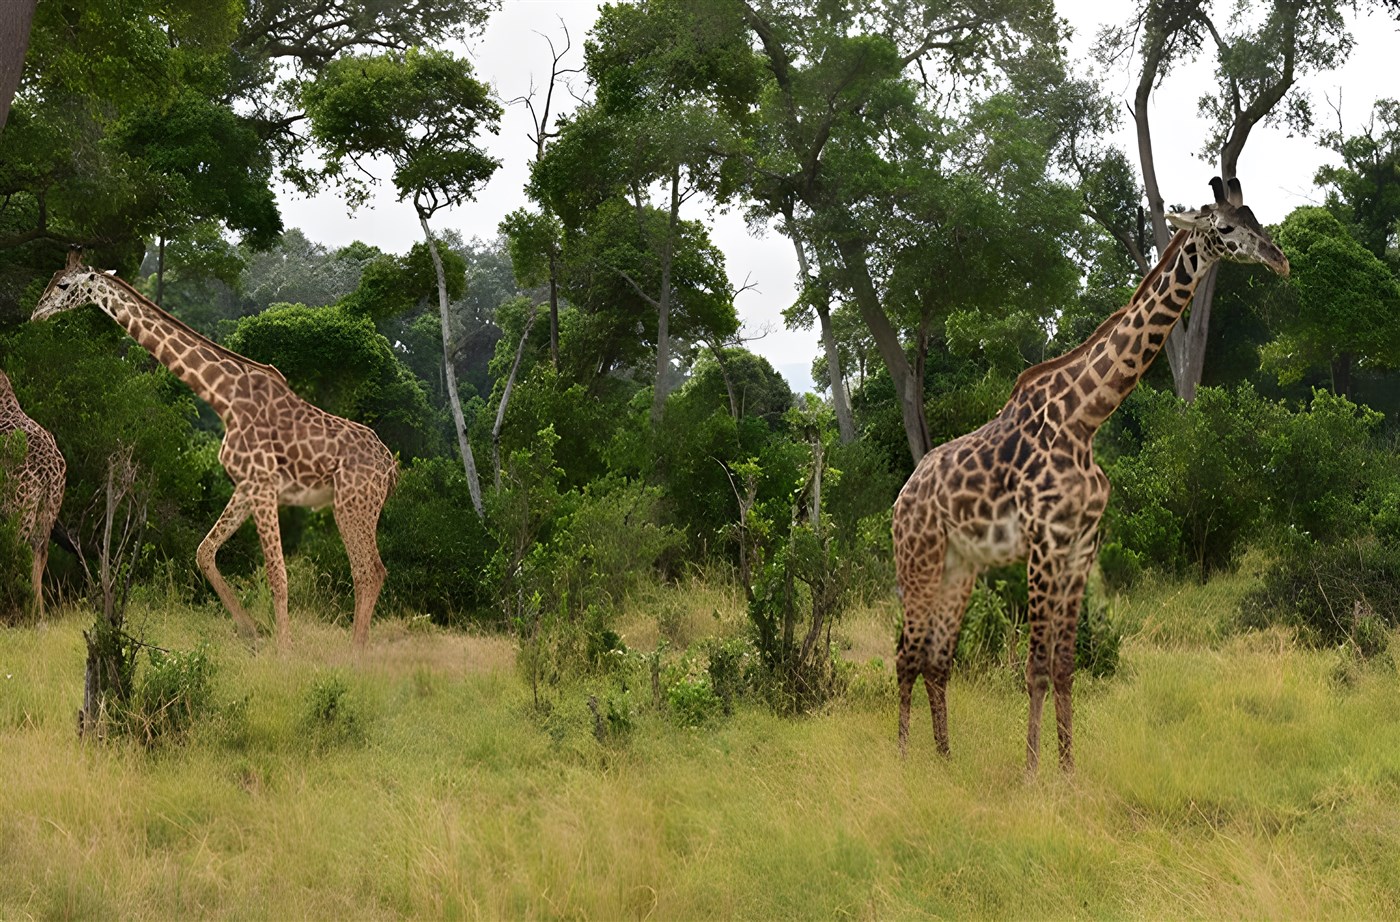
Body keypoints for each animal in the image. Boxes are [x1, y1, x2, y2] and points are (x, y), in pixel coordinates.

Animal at [0, 368, 66, 618]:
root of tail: (49, 473)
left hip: (18, 507)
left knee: (16, 551)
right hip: (47, 510)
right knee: (39, 554)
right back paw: (36, 615)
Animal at [33, 248, 397, 650]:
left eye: (64, 284)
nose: (36, 313)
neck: (224, 397)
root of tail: (391, 466)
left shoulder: (263, 484)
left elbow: (277, 573)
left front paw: (284, 650)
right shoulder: (246, 487)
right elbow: (204, 552)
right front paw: (252, 632)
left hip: (353, 503)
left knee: (368, 570)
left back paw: (355, 652)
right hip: (355, 506)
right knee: (372, 570)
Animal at [892, 177, 1291, 772]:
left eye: (1257, 220)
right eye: (1223, 227)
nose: (1278, 259)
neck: (1085, 418)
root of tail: (900, 498)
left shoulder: (1082, 544)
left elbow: (1064, 666)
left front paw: (1067, 770)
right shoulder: (1044, 541)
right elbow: (1035, 666)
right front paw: (1031, 773)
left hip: (958, 567)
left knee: (937, 660)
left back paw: (944, 760)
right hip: (918, 558)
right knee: (904, 654)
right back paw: (900, 758)